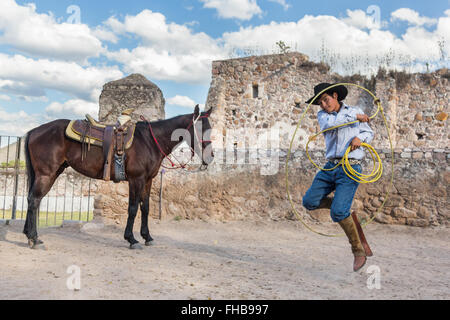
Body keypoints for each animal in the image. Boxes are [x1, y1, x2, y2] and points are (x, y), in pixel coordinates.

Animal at [23, 106, 214, 249]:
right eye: (201, 129)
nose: (210, 156)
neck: (149, 141)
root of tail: (34, 131)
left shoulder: (148, 181)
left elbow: (145, 208)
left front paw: (147, 237)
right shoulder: (136, 180)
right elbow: (133, 208)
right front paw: (132, 239)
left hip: (52, 173)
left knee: (33, 200)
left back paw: (29, 235)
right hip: (46, 174)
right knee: (34, 200)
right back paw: (34, 239)